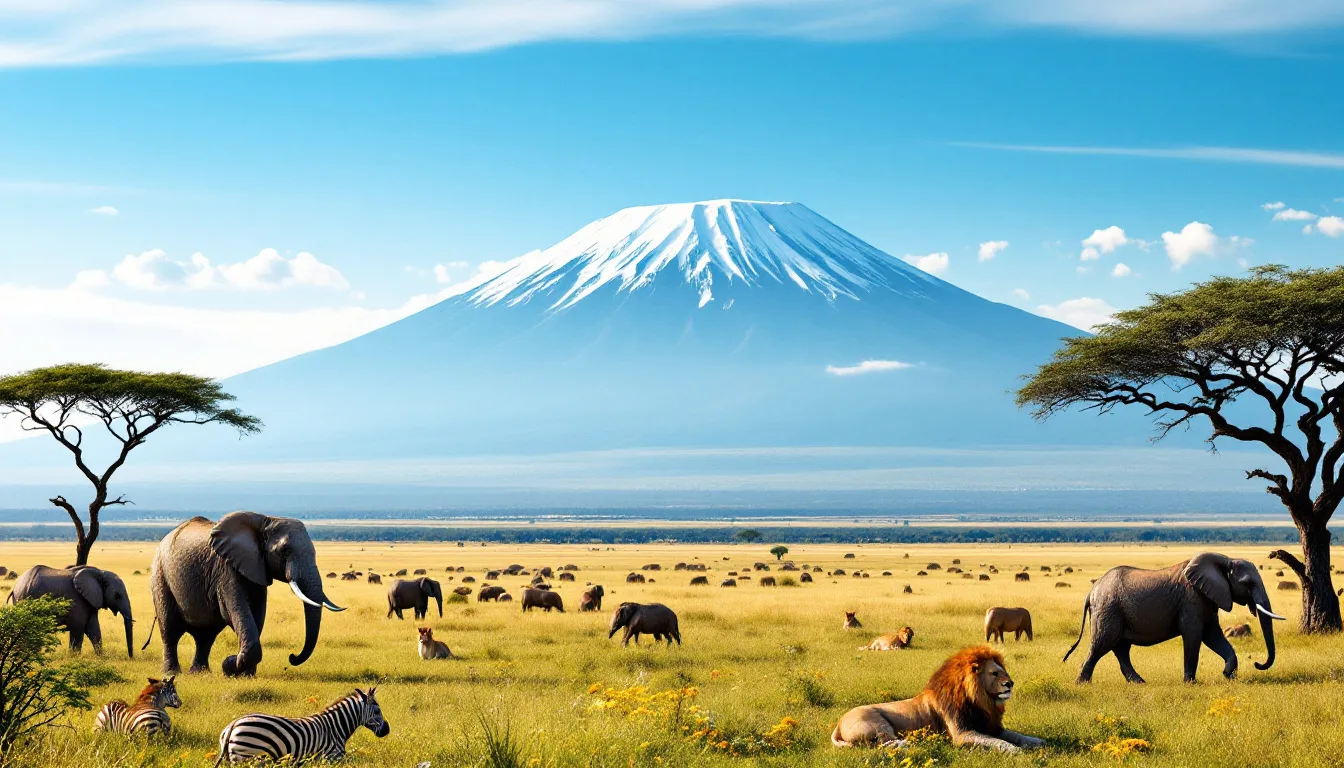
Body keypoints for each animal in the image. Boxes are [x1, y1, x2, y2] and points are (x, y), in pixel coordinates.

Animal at [830, 646, 1045, 753]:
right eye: (994, 673)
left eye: (1003, 671)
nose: (1010, 683)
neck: (980, 702)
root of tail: (838, 724)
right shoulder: (962, 734)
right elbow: (995, 741)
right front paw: (1014, 750)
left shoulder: (992, 726)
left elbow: (1016, 735)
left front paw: (1037, 741)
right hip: (878, 724)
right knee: (884, 744)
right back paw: (908, 744)